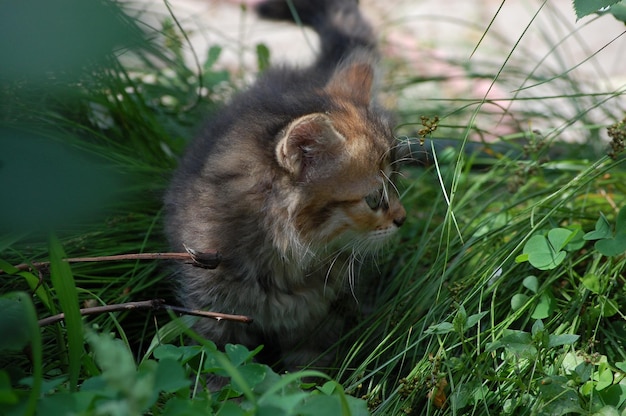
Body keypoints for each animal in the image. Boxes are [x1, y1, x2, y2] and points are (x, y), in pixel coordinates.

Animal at [163, 0, 404, 372]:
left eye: (396, 182)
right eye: (375, 198)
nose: (403, 218)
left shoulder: (315, 324)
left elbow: (307, 375)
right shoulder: (212, 312)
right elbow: (220, 371)